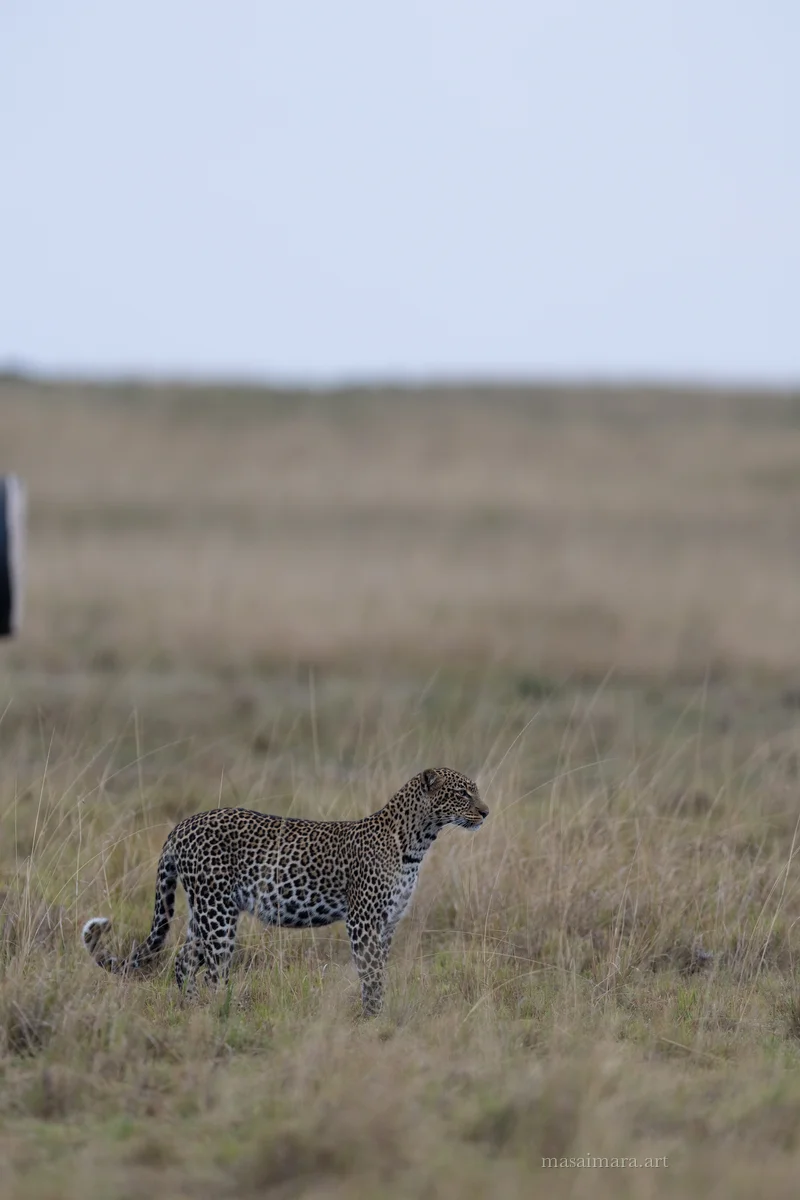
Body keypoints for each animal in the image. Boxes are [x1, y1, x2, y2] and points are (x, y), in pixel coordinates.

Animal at [82, 767, 488, 1016]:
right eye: (462, 794)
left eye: (475, 792)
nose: (486, 811)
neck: (417, 842)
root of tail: (182, 826)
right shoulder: (363, 921)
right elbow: (371, 973)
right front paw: (374, 1019)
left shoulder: (388, 922)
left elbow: (379, 970)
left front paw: (377, 1014)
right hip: (218, 913)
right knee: (213, 971)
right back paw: (221, 1014)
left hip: (205, 911)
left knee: (183, 962)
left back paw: (191, 1011)